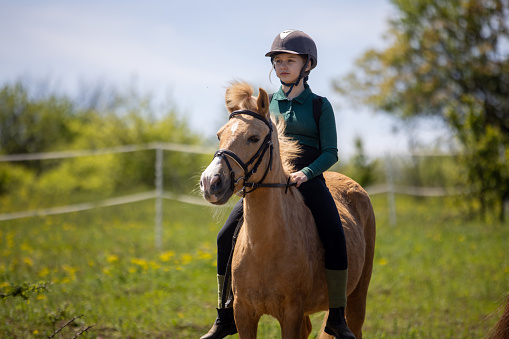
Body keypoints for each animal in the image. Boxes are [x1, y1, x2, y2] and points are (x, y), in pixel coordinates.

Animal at [200, 82, 376, 339]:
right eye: (219, 135)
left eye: (254, 138)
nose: (210, 183)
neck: (264, 246)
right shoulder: (244, 313)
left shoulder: (291, 312)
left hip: (357, 297)